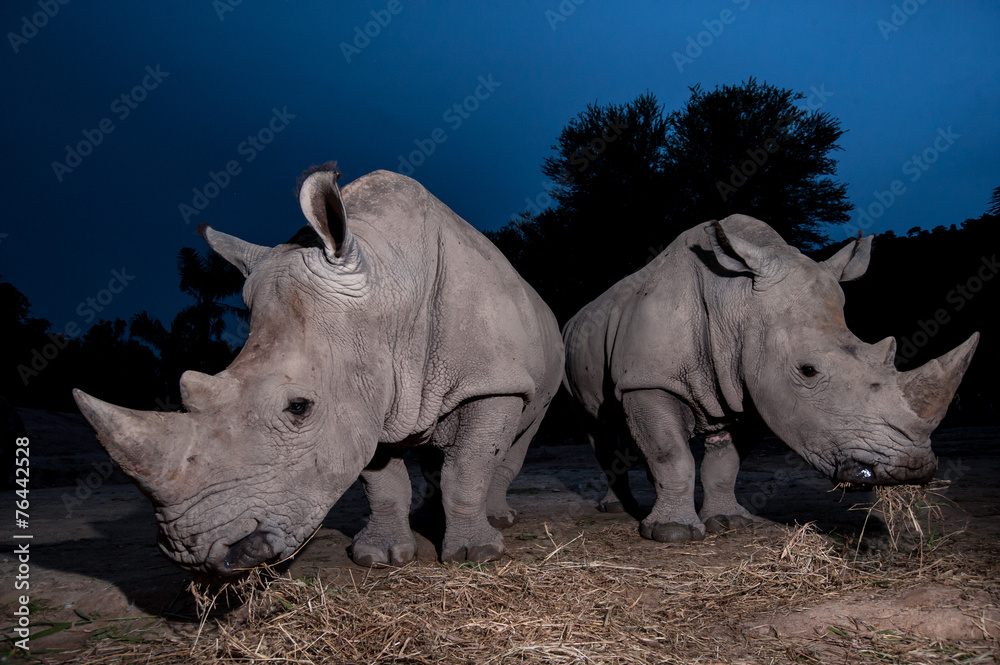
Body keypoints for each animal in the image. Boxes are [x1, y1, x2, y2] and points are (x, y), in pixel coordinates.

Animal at [73, 165, 564, 575]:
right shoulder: (365, 395)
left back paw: (499, 518)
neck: (390, 289)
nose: (192, 554)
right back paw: (429, 516)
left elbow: (468, 467)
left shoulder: (491, 381)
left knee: (520, 434)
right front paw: (380, 557)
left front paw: (475, 556)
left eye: (298, 408)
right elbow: (381, 481)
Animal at [562, 215, 978, 542]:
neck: (737, 302)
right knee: (600, 429)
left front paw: (729, 522)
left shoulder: (751, 390)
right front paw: (672, 534)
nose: (913, 468)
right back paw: (619, 508)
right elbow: (671, 455)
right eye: (808, 370)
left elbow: (724, 464)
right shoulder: (649, 379)